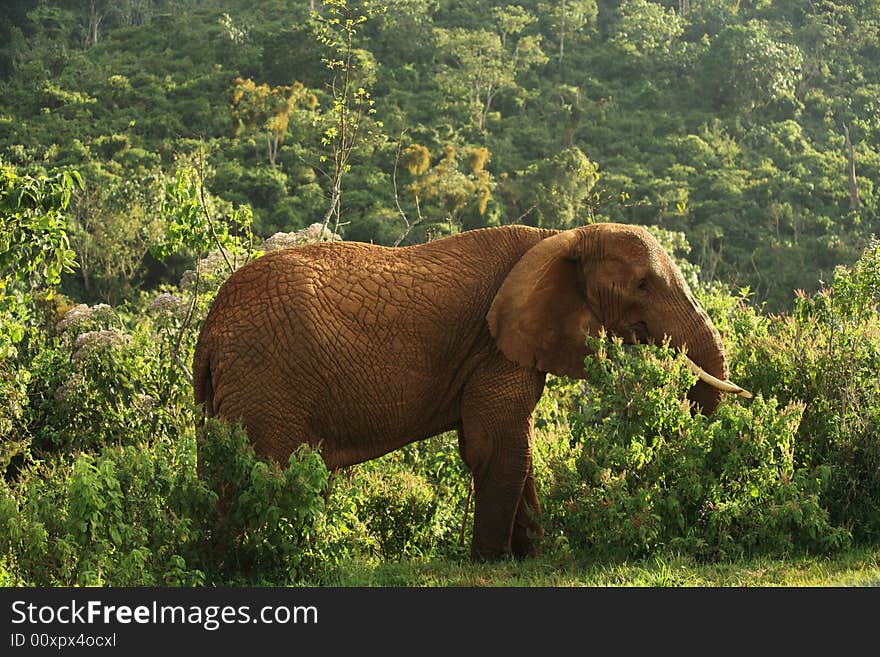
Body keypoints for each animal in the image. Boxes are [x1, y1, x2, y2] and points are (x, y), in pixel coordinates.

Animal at [194, 224, 748, 560]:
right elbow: (499, 447)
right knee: (260, 471)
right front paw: (493, 562)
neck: (558, 238)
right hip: (266, 380)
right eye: (642, 287)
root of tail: (211, 326)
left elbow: (511, 449)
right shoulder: (495, 345)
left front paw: (532, 557)